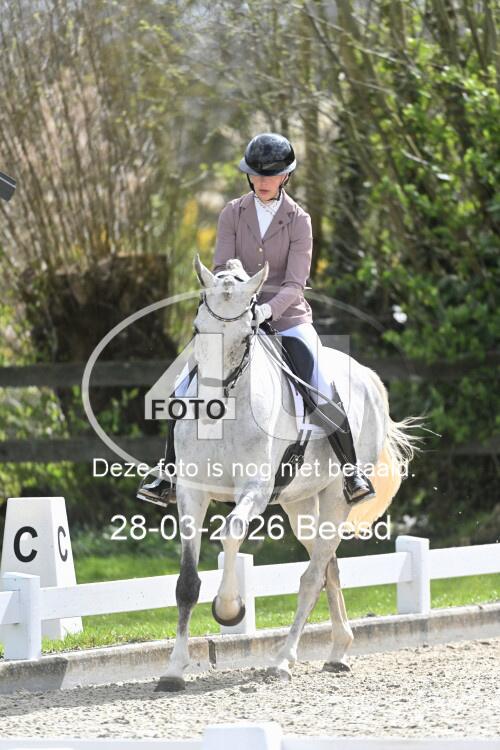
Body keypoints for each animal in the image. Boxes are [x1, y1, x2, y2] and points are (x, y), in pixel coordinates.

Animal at [156, 255, 420, 691]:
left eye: (245, 336)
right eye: (197, 330)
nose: (207, 406)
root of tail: (366, 374)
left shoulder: (255, 490)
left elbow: (231, 532)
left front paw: (229, 609)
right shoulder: (192, 492)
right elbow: (186, 583)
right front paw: (174, 669)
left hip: (335, 498)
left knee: (312, 576)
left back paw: (283, 659)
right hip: (299, 505)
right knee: (327, 565)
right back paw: (338, 650)